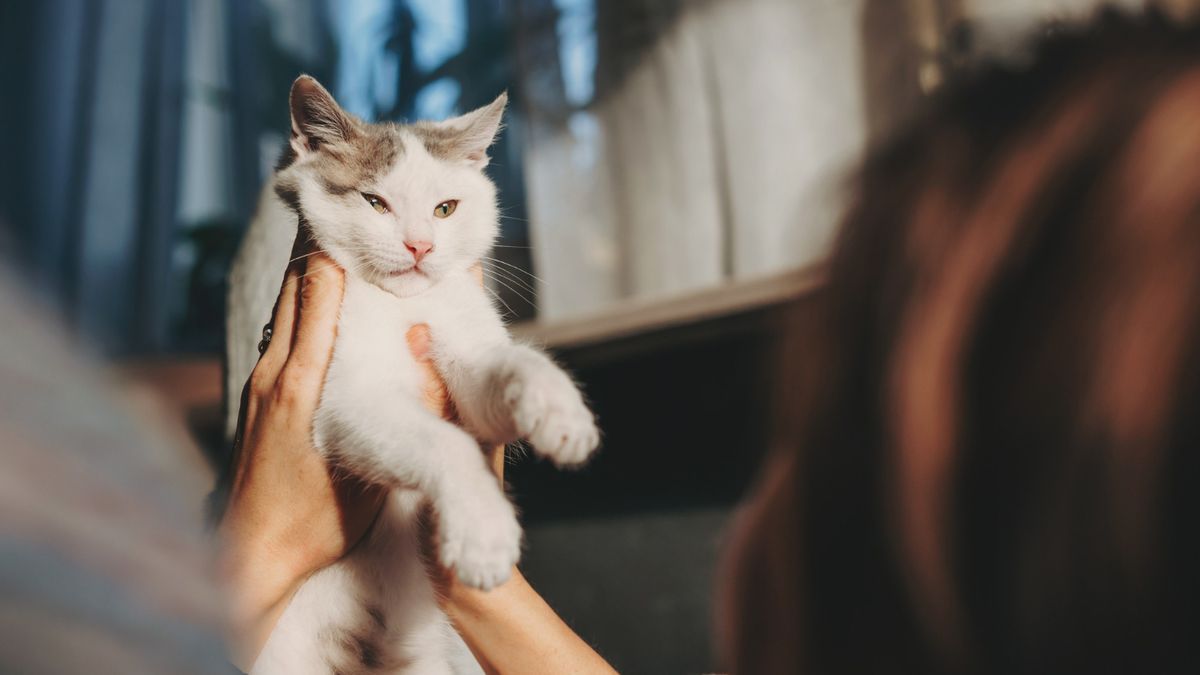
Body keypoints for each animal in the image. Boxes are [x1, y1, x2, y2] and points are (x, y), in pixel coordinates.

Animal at [225, 76, 600, 667]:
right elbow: (446, 441)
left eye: (445, 208)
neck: (404, 304)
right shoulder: (346, 400)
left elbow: (506, 365)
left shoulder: (465, 333)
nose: (420, 245)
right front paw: (483, 528)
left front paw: (559, 407)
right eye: (375, 202)